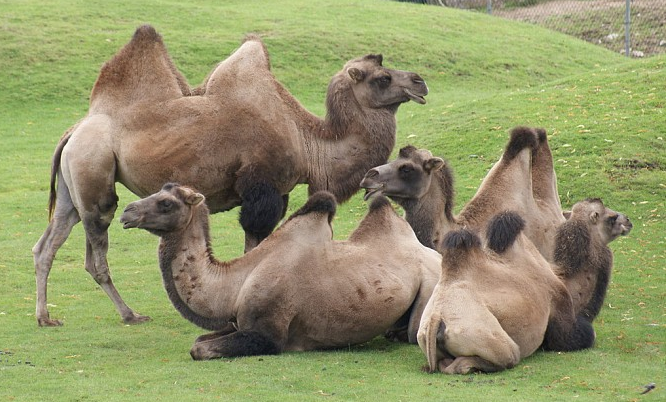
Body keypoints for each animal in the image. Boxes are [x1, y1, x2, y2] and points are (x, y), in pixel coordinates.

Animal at [31, 24, 428, 326]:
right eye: (382, 78)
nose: (420, 82)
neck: (308, 140)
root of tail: (74, 130)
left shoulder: (279, 191)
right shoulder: (262, 187)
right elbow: (255, 242)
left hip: (71, 188)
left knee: (47, 244)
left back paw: (45, 317)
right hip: (94, 176)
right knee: (95, 252)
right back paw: (130, 314)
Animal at [120, 184, 444, 360]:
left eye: (166, 203)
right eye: (159, 189)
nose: (127, 211)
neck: (235, 285)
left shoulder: (269, 333)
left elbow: (198, 349)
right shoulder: (238, 322)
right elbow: (200, 340)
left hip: (430, 287)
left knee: (412, 332)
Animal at [418, 198, 632, 374]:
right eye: (611, 217)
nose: (628, 221)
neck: (564, 279)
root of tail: (437, 318)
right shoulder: (561, 312)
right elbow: (585, 335)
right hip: (490, 338)